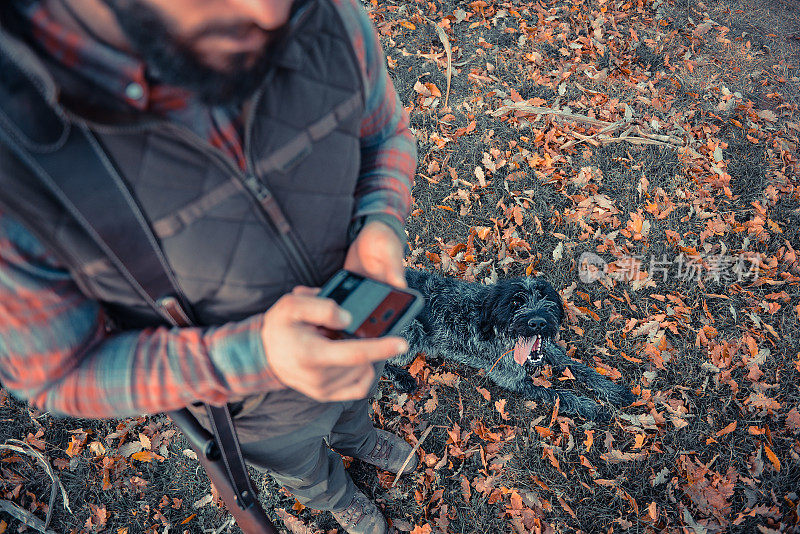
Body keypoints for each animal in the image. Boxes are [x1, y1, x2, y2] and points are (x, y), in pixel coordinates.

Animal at [384, 270, 636, 426]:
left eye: (546, 298)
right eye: (515, 302)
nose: (538, 322)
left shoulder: (549, 350)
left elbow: (579, 367)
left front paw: (614, 391)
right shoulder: (512, 378)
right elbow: (558, 394)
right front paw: (594, 408)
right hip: (410, 334)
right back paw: (401, 378)